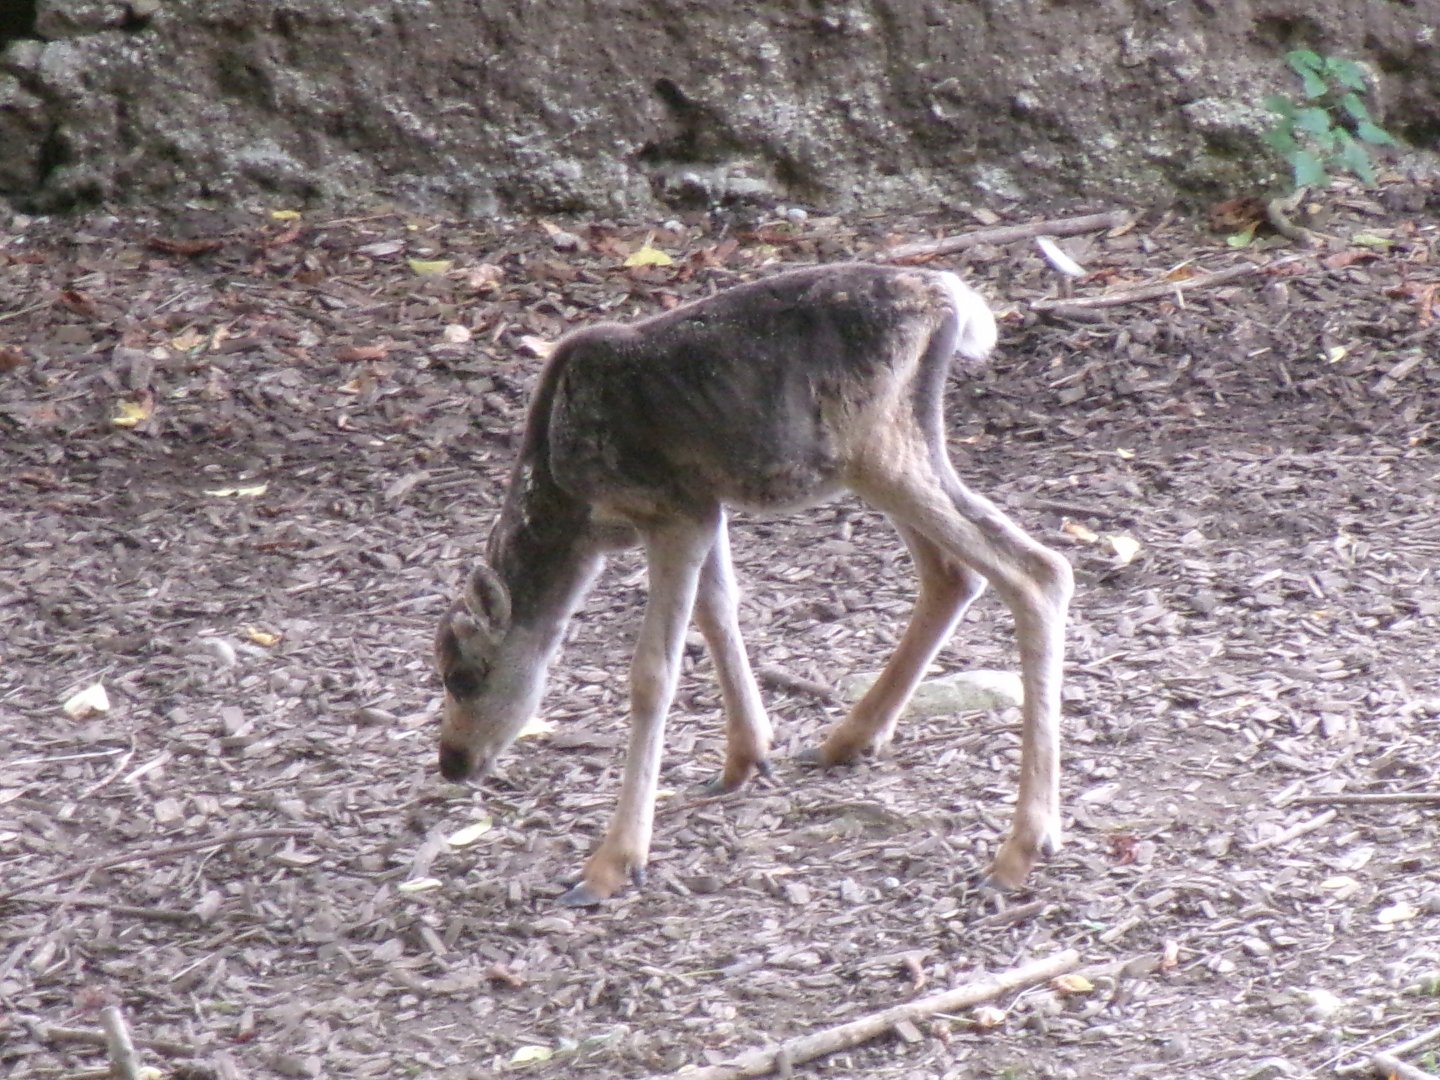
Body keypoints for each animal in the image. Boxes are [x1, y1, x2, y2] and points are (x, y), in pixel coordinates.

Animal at [433, 262, 1073, 907]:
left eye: (463, 676)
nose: (451, 762)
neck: (575, 511)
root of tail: (951, 300)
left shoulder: (669, 511)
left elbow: (653, 673)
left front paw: (612, 863)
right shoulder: (704, 504)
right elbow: (719, 610)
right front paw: (745, 756)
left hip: (875, 450)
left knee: (1037, 570)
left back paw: (1021, 847)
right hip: (888, 455)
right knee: (953, 574)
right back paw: (848, 740)